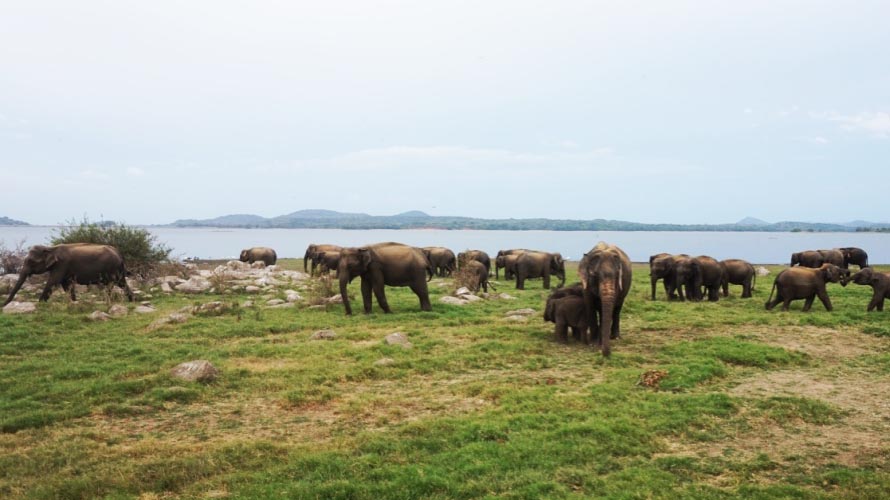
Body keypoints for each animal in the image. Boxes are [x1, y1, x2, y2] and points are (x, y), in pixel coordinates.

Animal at [3, 242, 135, 304]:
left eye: (31, 261)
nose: (3, 305)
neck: (51, 248)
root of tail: (119, 253)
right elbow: (66, 285)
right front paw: (74, 302)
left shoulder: (62, 265)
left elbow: (53, 282)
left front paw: (40, 304)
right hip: (117, 270)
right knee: (122, 283)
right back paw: (132, 300)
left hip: (112, 268)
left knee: (112, 285)